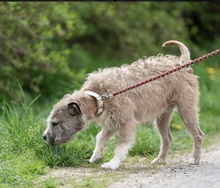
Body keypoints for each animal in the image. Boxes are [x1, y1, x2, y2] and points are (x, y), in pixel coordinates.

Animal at [43, 40, 205, 170]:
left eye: (55, 123)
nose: (44, 137)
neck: (99, 96)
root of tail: (182, 62)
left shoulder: (127, 122)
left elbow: (121, 146)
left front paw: (113, 163)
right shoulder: (111, 123)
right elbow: (101, 138)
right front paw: (95, 156)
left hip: (186, 109)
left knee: (198, 135)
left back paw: (195, 159)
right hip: (163, 116)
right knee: (167, 138)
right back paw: (160, 159)